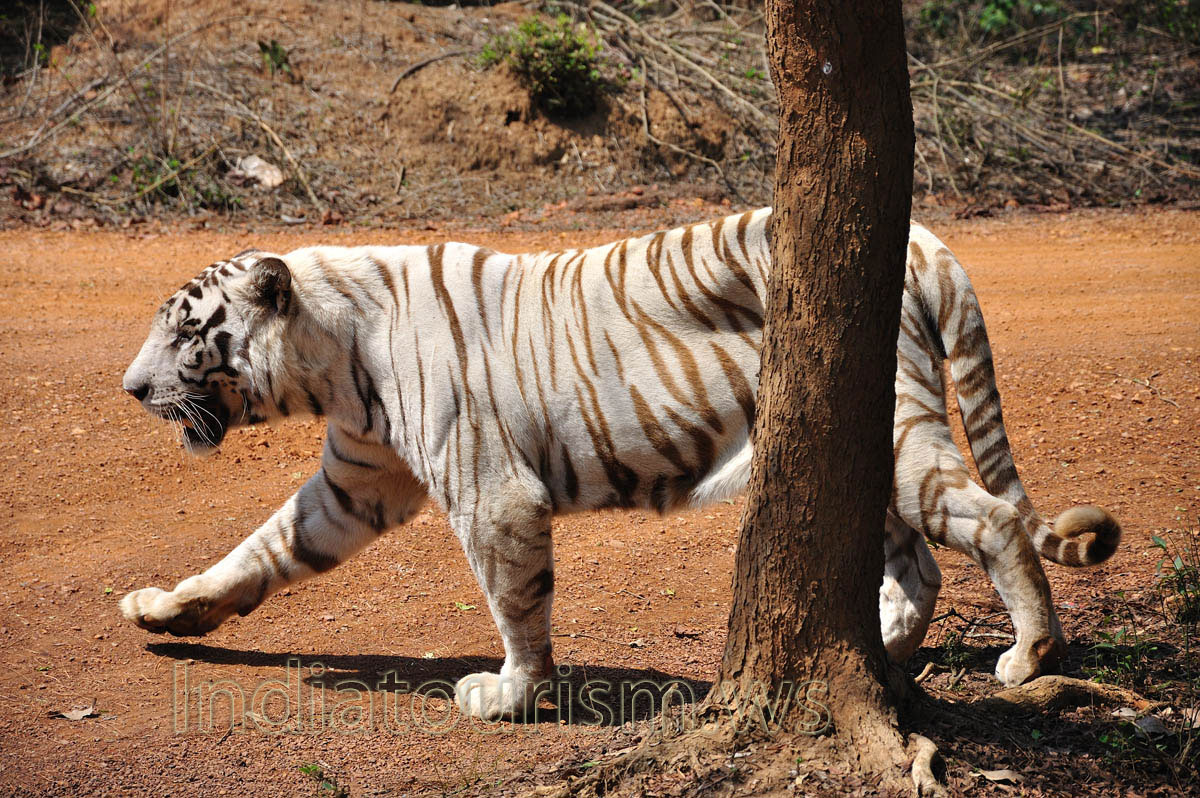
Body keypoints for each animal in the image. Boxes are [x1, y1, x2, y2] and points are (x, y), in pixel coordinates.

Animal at [119, 208, 1120, 721]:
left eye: (184, 331)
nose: (130, 388)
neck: (331, 360)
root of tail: (921, 239)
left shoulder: (492, 495)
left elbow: (515, 603)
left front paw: (510, 694)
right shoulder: (355, 482)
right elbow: (258, 552)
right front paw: (166, 611)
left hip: (897, 426)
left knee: (990, 520)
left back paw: (1028, 656)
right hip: (862, 441)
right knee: (915, 562)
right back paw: (882, 645)